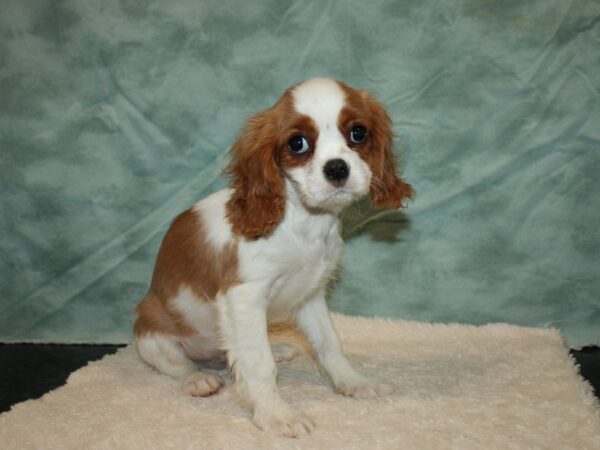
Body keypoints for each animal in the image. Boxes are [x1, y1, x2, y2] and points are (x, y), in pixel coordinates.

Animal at [132, 77, 412, 436]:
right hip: (151, 336)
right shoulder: (244, 296)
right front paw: (276, 414)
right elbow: (257, 362)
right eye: (298, 143)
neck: (303, 223)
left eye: (358, 133)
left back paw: (276, 349)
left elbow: (329, 343)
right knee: (178, 366)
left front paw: (354, 382)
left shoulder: (310, 296)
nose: (337, 168)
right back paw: (198, 379)